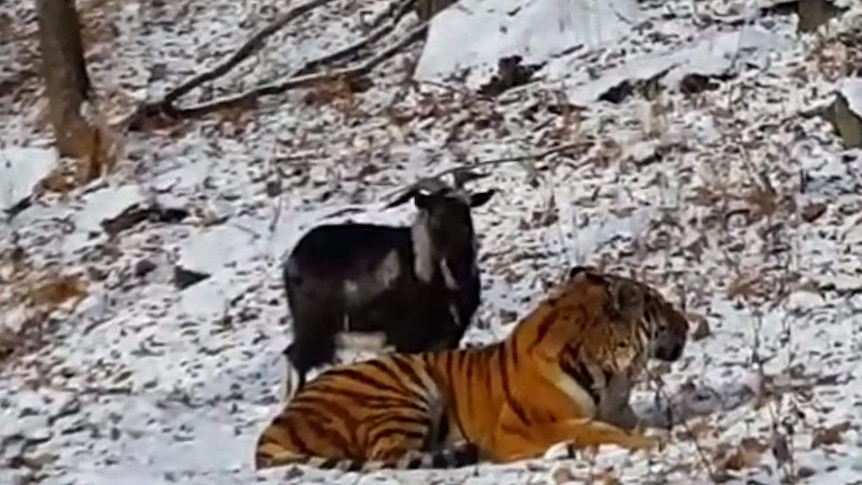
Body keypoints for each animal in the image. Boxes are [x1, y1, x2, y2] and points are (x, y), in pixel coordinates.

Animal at [255, 264, 688, 472]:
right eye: (661, 306)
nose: (687, 322)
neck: (612, 371)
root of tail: (273, 427)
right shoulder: (522, 427)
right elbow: (595, 431)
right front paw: (653, 443)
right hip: (401, 390)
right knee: (390, 454)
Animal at [280, 171, 496, 398]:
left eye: (467, 215)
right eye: (434, 218)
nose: (458, 270)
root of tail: (293, 259)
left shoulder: (447, 340)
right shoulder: (407, 342)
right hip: (314, 329)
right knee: (295, 358)